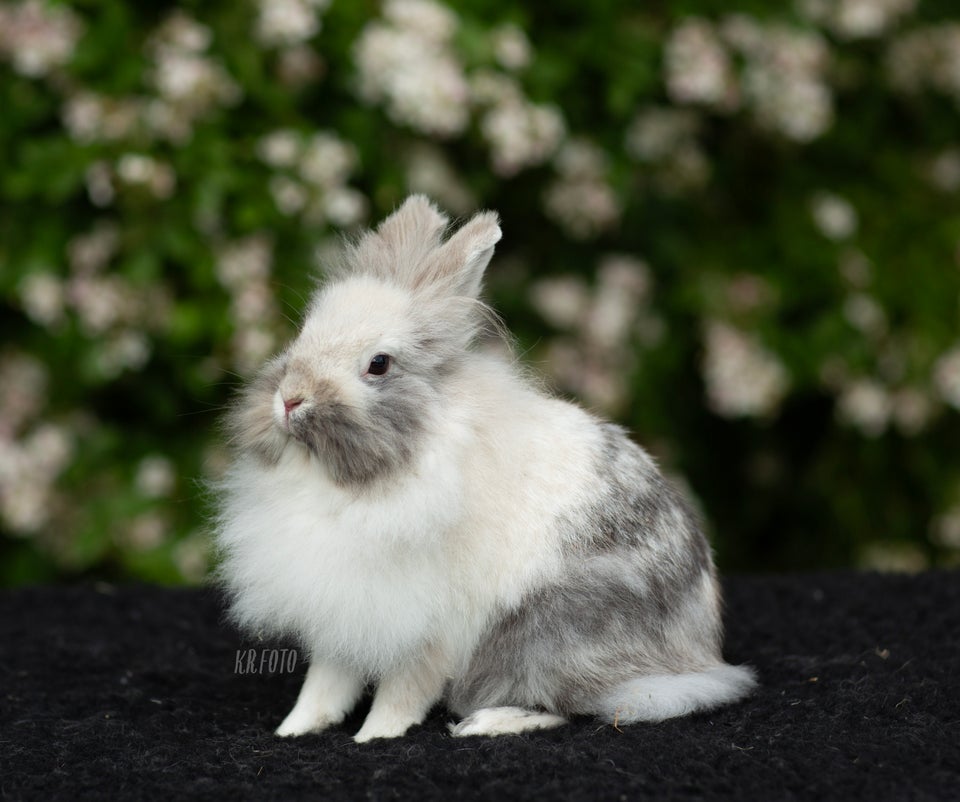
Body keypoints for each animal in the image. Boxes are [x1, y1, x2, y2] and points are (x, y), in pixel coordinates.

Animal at [214, 195, 752, 744]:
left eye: (379, 364)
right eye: (302, 336)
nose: (289, 399)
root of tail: (699, 653)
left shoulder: (422, 627)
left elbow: (401, 691)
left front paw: (373, 738)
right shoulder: (342, 615)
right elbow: (324, 683)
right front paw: (293, 730)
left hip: (549, 636)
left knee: (571, 705)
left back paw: (486, 723)